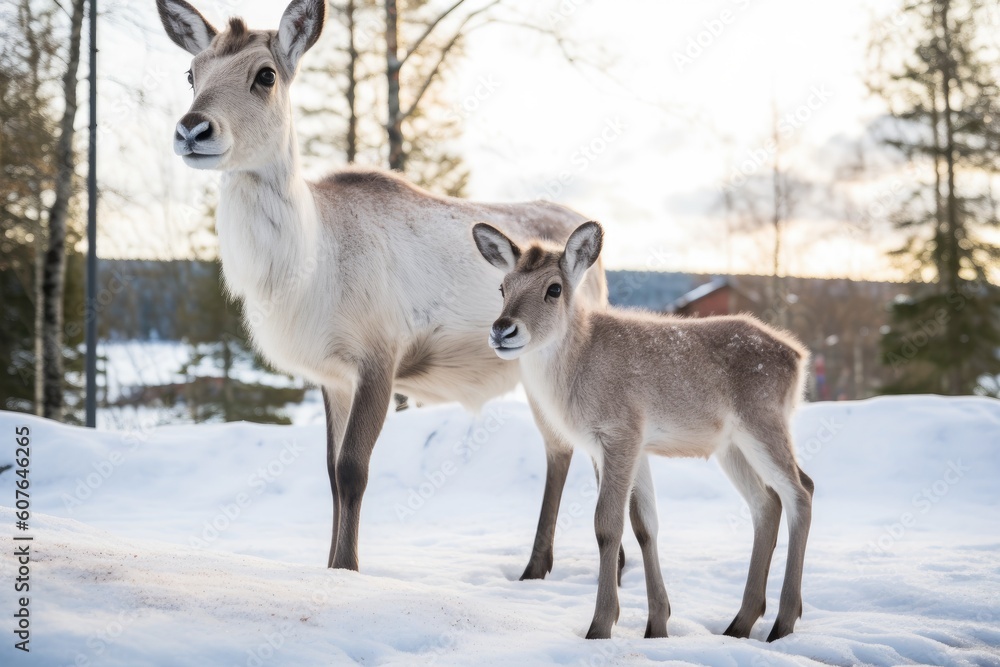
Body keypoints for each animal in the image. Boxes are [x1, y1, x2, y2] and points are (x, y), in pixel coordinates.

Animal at [474, 220, 812, 640]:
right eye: (502, 287)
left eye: (553, 288)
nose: (503, 329)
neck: (575, 375)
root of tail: (799, 356)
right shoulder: (630, 446)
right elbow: (645, 526)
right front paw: (657, 623)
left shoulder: (621, 432)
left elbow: (607, 525)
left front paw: (601, 625)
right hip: (731, 445)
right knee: (768, 502)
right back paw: (741, 621)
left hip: (763, 421)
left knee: (800, 492)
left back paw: (783, 621)